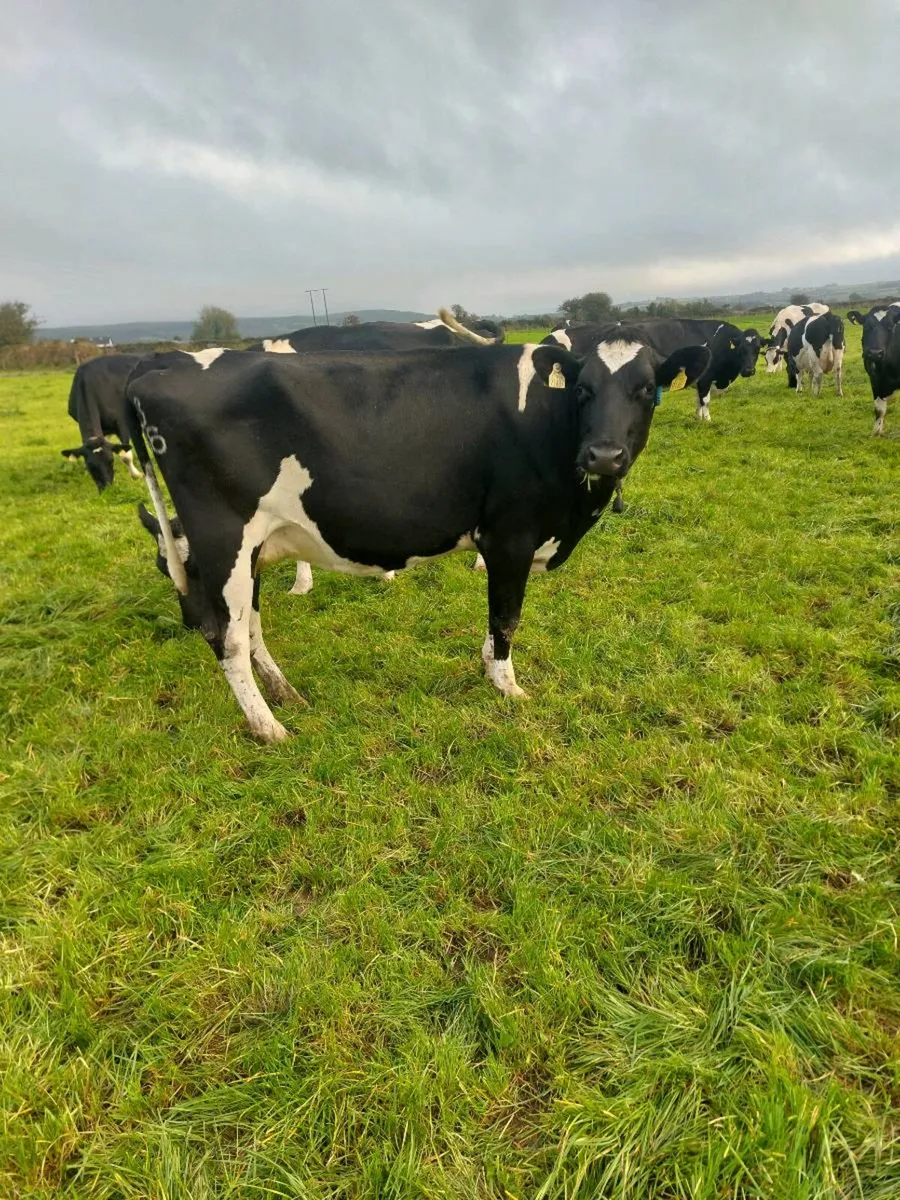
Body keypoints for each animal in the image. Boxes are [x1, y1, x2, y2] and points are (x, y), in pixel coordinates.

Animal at [61, 353, 144, 491]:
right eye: (90, 466)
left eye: (111, 461)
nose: (107, 489)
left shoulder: (122, 423)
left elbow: (125, 455)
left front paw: (136, 475)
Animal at [126, 333, 710, 742]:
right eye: (584, 390)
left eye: (646, 391)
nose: (604, 455)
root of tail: (164, 361)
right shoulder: (511, 535)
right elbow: (507, 616)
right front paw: (508, 688)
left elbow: (497, 620)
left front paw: (486, 667)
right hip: (223, 536)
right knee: (224, 636)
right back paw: (270, 728)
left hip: (249, 548)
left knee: (248, 626)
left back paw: (285, 696)